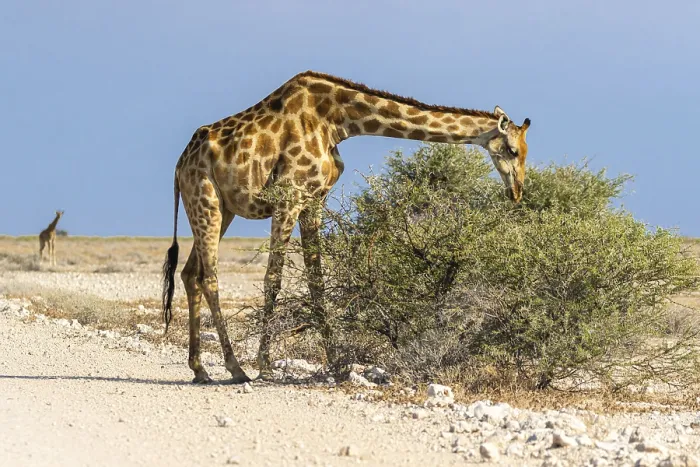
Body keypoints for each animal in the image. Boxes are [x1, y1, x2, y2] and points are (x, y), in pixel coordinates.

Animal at [162, 71, 531, 384]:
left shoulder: (313, 200)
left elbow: (317, 283)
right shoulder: (289, 196)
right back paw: (236, 368)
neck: (339, 120)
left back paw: (200, 370)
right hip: (205, 199)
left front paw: (336, 361)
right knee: (209, 277)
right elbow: (273, 279)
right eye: (513, 150)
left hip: (222, 210)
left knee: (190, 274)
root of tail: (179, 164)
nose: (517, 192)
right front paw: (265, 365)